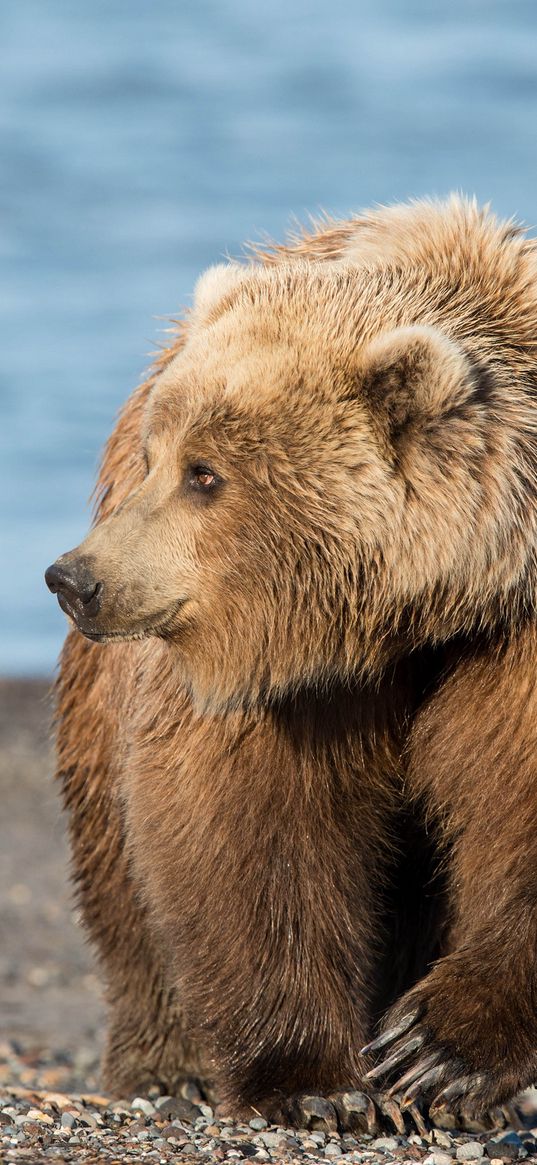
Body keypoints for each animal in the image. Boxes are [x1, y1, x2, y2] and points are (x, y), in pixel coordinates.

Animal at [45, 198, 535, 1127]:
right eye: (158, 457)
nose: (75, 578)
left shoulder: (511, 635)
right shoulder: (276, 669)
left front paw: (438, 1053)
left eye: (205, 473)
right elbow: (251, 824)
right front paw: (319, 1084)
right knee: (121, 872)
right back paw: (169, 1065)